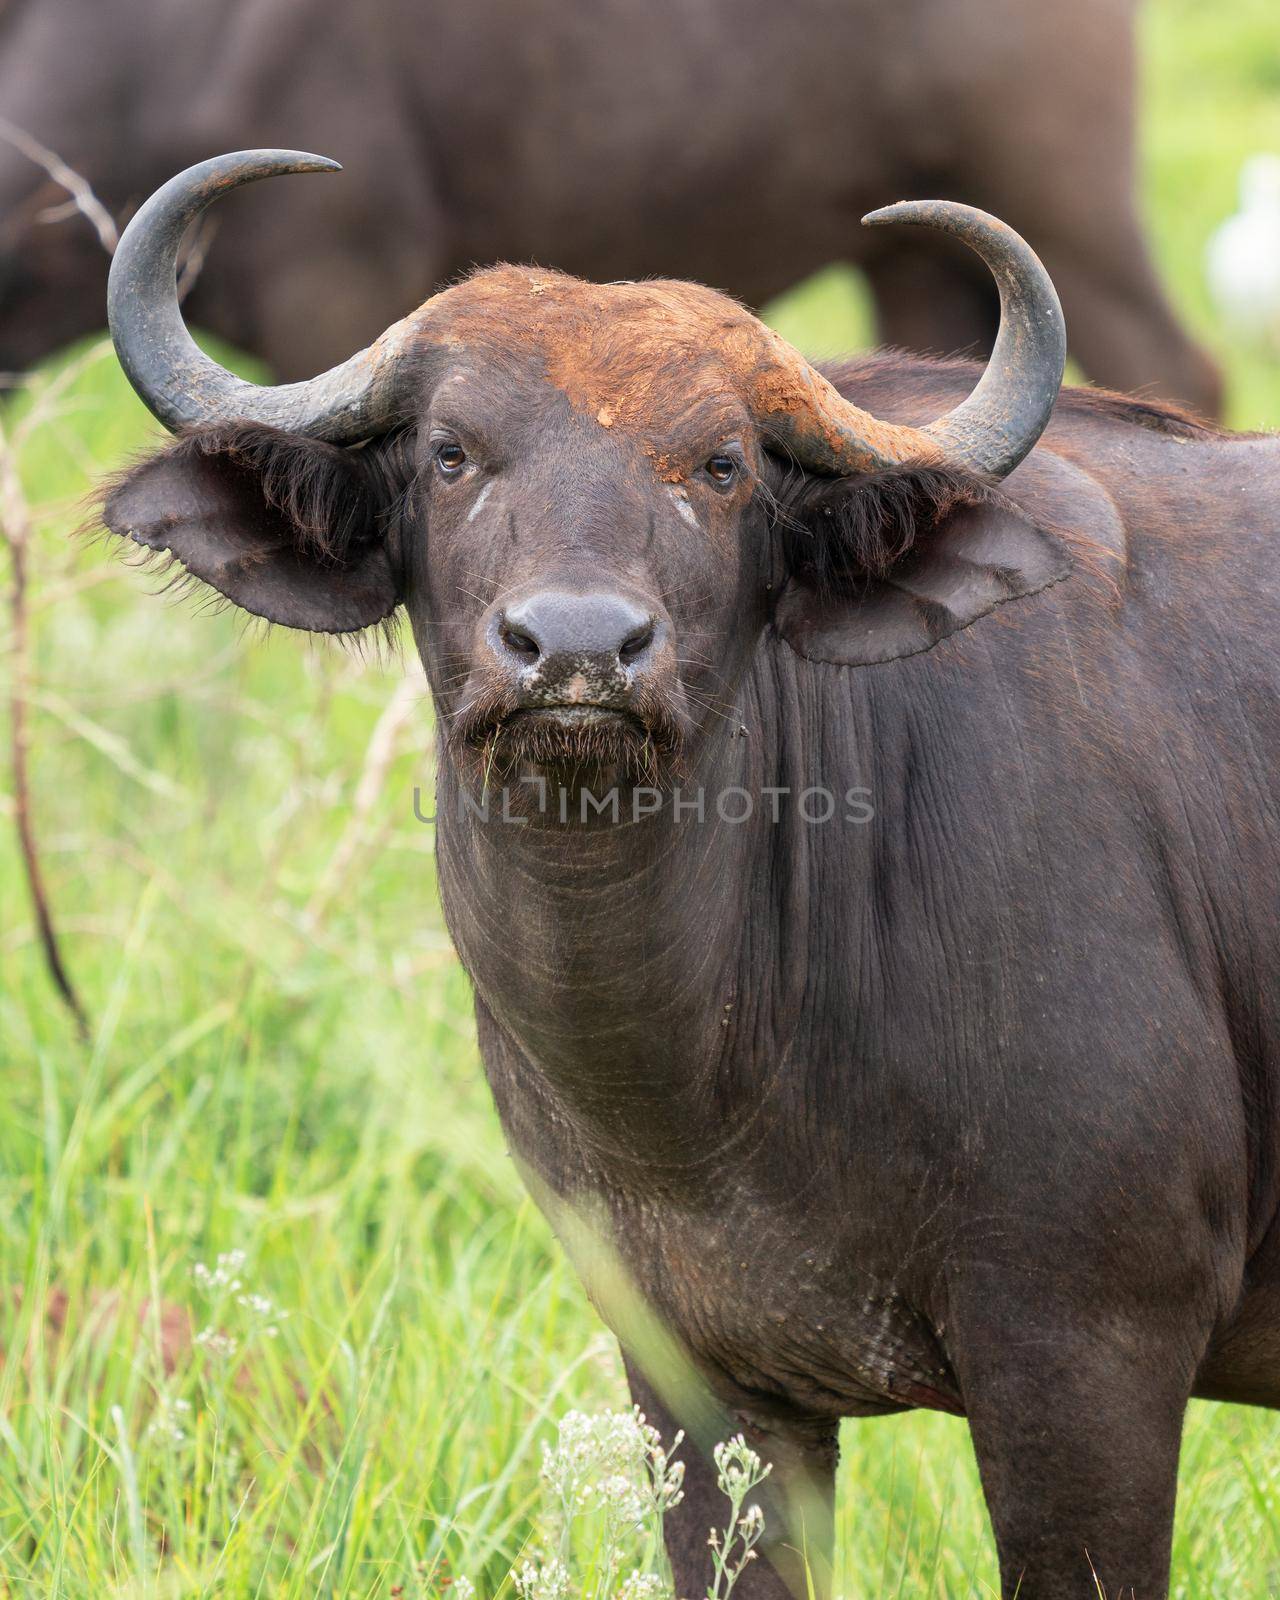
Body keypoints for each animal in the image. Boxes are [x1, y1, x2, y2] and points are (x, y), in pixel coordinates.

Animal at [95, 152, 1273, 1600]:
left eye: (719, 464)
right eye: (449, 453)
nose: (577, 647)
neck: (712, 1077)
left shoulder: (1087, 1352)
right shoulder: (702, 1381)